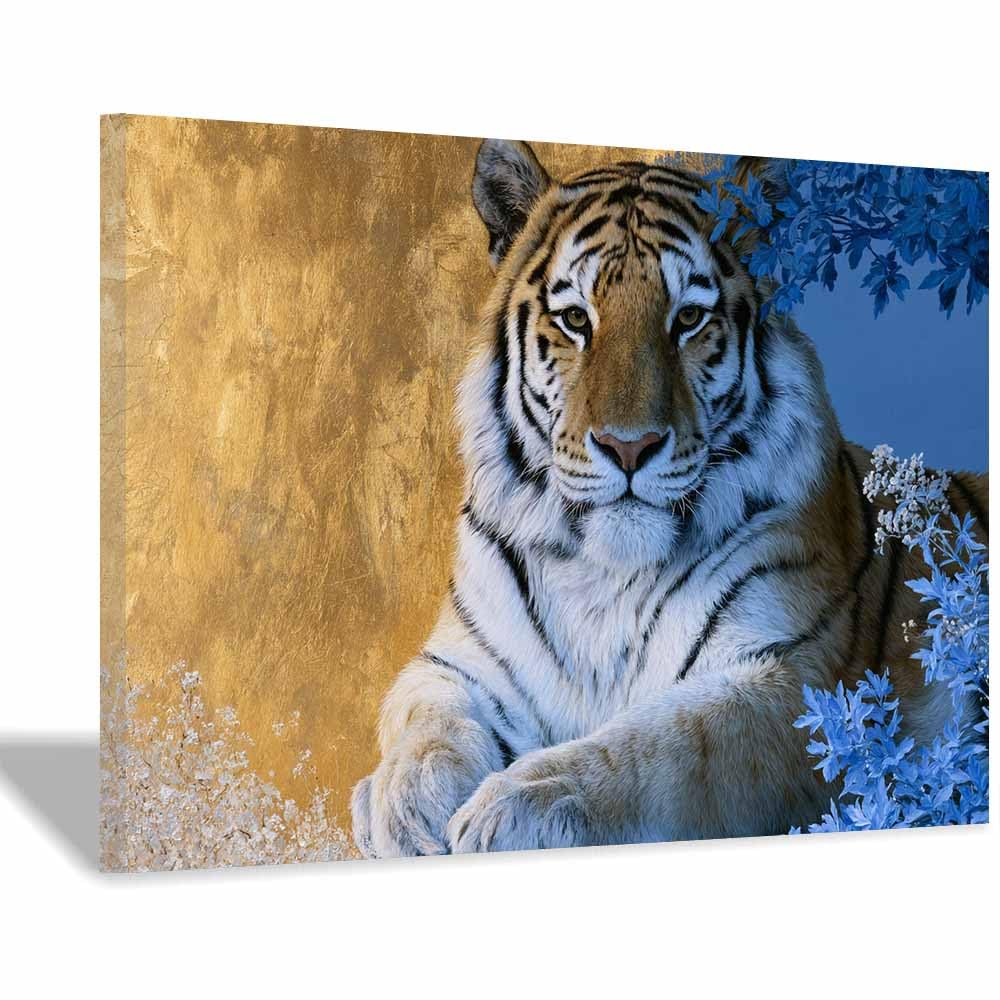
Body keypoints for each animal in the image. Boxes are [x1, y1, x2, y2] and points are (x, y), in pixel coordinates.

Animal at [350, 139, 988, 857]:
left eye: (688, 319)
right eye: (576, 320)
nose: (629, 447)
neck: (600, 573)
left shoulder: (790, 677)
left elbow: (662, 746)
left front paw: (515, 808)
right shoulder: (458, 663)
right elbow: (424, 720)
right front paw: (404, 804)